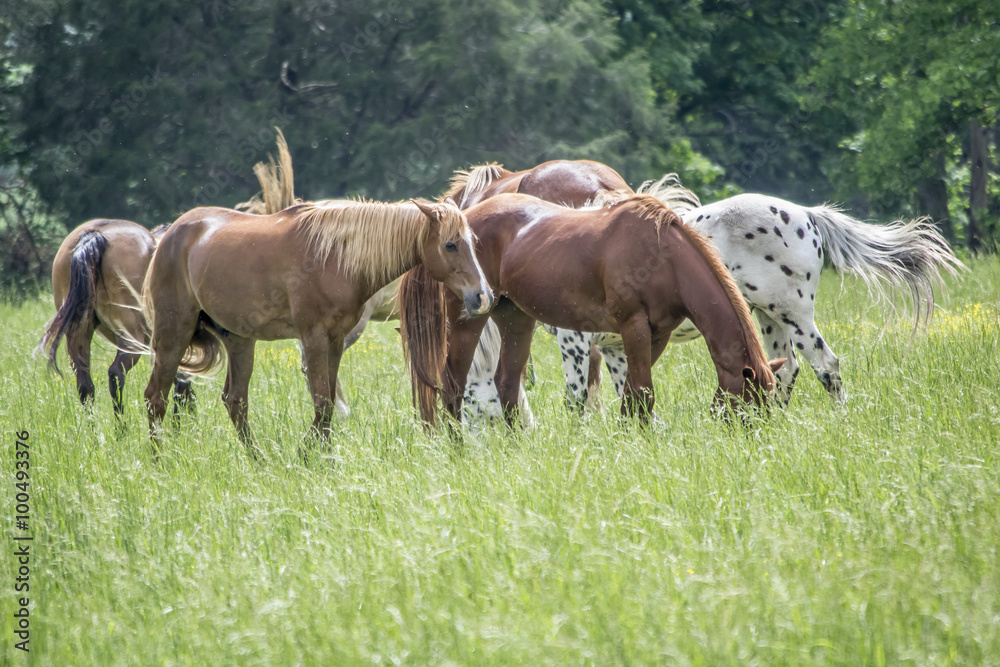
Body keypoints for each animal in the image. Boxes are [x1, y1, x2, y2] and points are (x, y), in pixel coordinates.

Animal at [40, 219, 193, 419]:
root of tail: (94, 235)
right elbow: (181, 387)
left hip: (79, 334)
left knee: (85, 386)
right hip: (131, 338)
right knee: (115, 374)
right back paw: (122, 426)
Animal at [142, 198, 492, 453]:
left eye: (474, 241)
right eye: (450, 244)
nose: (482, 296)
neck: (337, 257)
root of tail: (170, 234)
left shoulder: (335, 342)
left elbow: (327, 405)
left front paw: (322, 456)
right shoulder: (313, 339)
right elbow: (322, 403)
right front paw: (309, 455)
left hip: (239, 340)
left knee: (235, 401)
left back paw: (259, 460)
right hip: (173, 335)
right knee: (155, 397)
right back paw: (161, 460)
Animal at [400, 193, 785, 427]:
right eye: (750, 403)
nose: (754, 442)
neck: (664, 258)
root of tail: (462, 219)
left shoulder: (656, 335)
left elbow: (633, 394)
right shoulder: (633, 327)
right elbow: (642, 393)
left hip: (516, 320)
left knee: (506, 384)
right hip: (467, 319)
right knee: (453, 384)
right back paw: (458, 447)